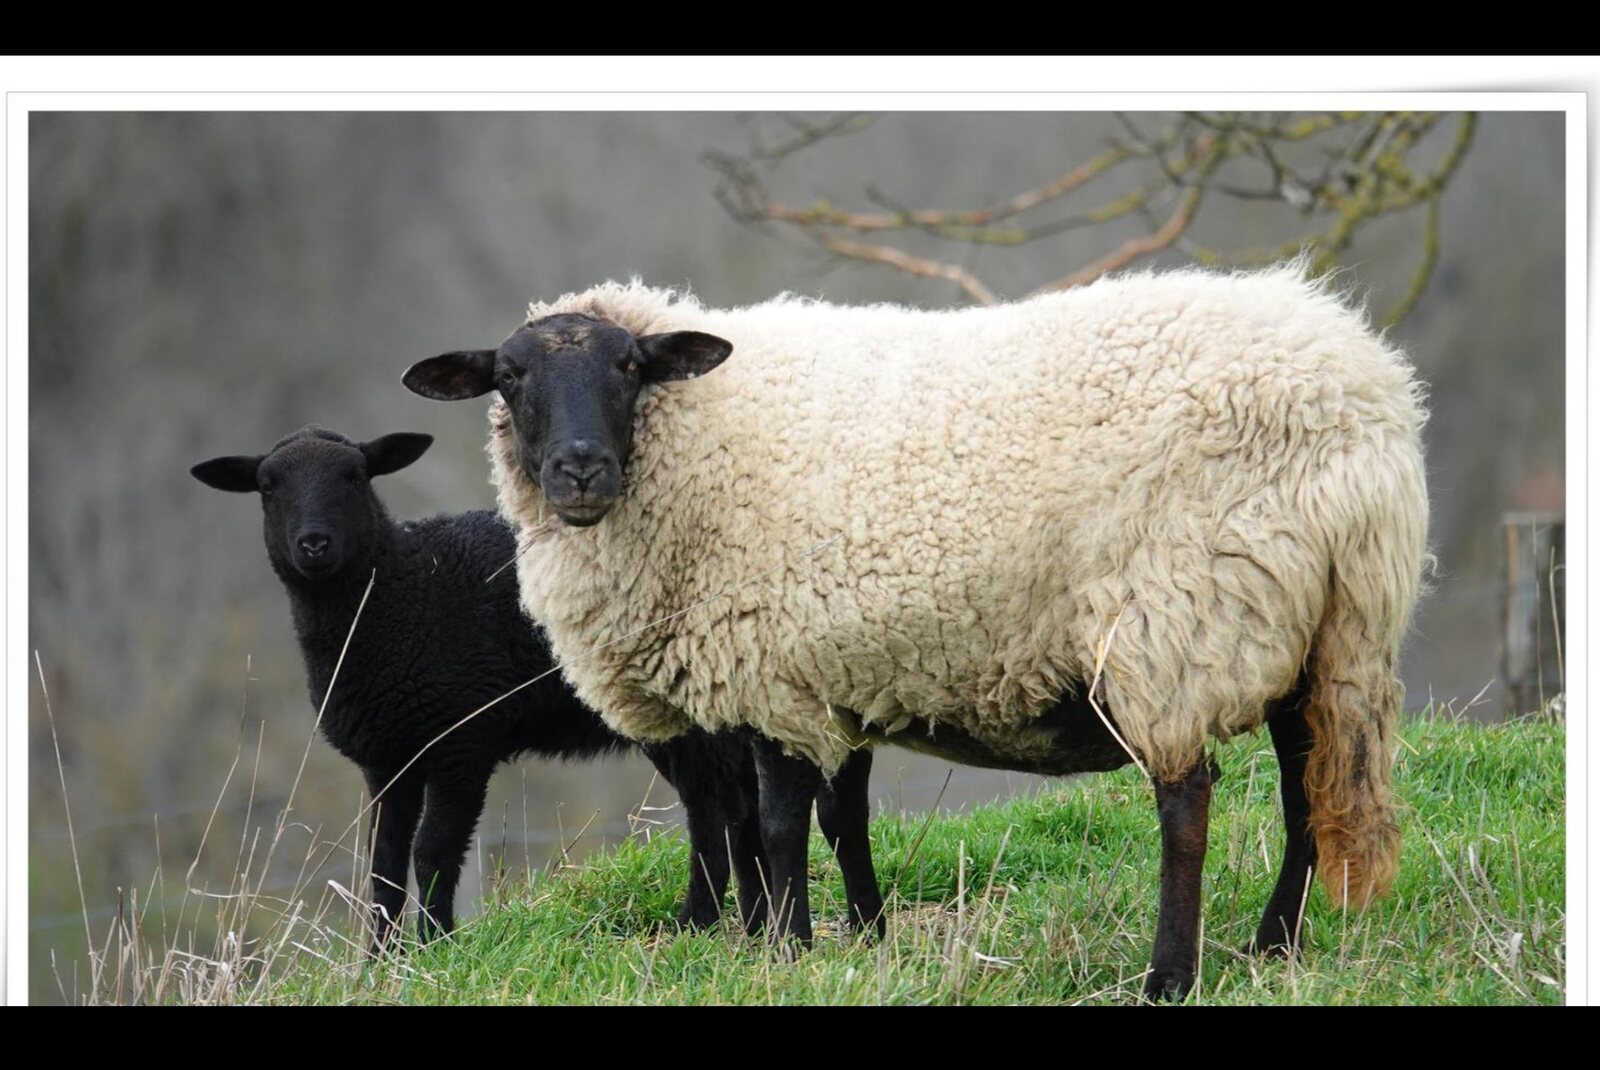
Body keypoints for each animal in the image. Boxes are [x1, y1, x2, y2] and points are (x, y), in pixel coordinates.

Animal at [190, 425, 883, 948]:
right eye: (267, 486)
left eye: (355, 476)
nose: (314, 544)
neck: (398, 595)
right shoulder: (389, 755)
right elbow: (382, 865)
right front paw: (381, 963)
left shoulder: (462, 739)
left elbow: (433, 851)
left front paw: (437, 948)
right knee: (722, 805)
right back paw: (734, 922)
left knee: (725, 807)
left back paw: (719, 921)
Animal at [402, 263, 1430, 1000]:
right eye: (509, 379)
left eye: (629, 369)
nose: (578, 471)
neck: (695, 446)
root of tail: (1369, 412)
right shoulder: (835, 670)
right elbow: (833, 817)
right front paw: (862, 936)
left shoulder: (771, 668)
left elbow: (777, 825)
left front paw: (788, 954)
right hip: (1316, 631)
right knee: (1305, 792)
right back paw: (1274, 948)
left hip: (1178, 617)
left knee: (1188, 800)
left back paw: (1169, 977)